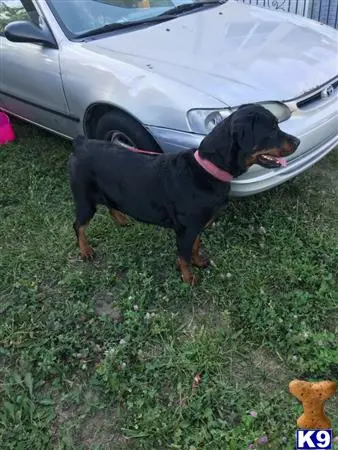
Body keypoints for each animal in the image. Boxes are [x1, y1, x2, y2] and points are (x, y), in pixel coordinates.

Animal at [68, 103, 298, 284]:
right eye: (271, 129)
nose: (297, 141)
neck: (207, 170)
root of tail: (81, 143)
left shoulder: (197, 226)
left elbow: (196, 246)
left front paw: (198, 261)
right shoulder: (185, 230)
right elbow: (184, 255)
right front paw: (188, 277)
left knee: (110, 205)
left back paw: (122, 220)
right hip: (85, 200)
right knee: (79, 226)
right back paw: (85, 251)